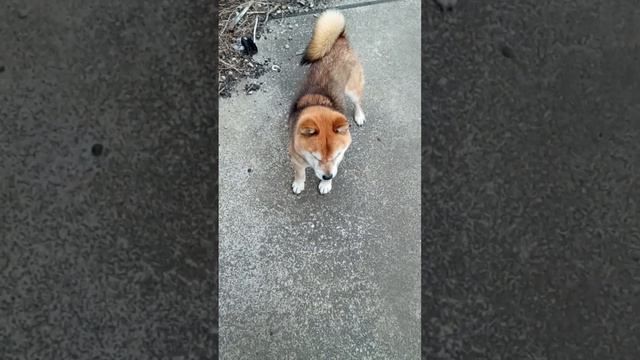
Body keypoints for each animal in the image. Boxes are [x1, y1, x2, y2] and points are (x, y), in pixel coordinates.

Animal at [286, 9, 364, 194]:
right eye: (316, 157)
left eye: (336, 155)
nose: (327, 176)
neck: (318, 103)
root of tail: (340, 38)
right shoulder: (295, 158)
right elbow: (300, 173)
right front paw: (299, 183)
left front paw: (326, 184)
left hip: (352, 89)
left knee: (358, 101)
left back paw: (359, 116)